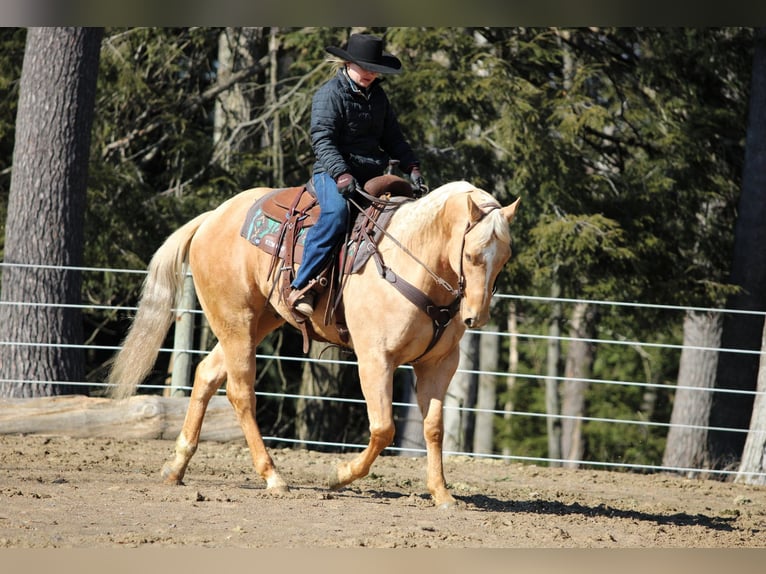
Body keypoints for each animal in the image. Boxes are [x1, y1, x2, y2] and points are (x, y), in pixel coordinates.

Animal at [108, 179, 520, 508]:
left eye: (503, 259)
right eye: (471, 255)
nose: (476, 317)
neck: (411, 259)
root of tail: (211, 218)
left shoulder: (439, 364)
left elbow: (433, 429)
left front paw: (442, 494)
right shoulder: (375, 359)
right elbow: (383, 428)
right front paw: (339, 475)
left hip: (255, 323)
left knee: (207, 374)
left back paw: (176, 467)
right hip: (237, 323)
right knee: (241, 394)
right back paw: (273, 477)